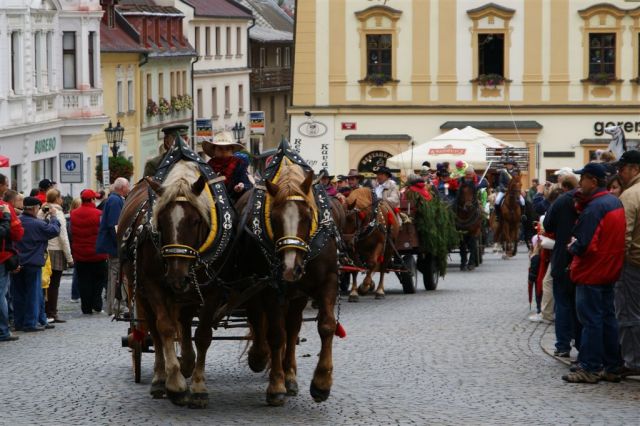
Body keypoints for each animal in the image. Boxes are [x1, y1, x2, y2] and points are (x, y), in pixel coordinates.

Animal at [116, 161, 224, 408]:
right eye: (161, 222)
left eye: (196, 221)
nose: (176, 276)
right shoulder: (152, 286)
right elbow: (164, 328)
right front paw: (175, 383)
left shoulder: (211, 290)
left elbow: (202, 335)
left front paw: (198, 386)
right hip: (142, 293)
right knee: (154, 331)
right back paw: (160, 378)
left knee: (183, 324)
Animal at [232, 160, 338, 406]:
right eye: (274, 218)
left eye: (308, 215)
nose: (290, 269)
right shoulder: (269, 289)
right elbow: (275, 334)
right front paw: (275, 385)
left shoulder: (328, 282)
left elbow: (326, 326)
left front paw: (321, 383)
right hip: (254, 287)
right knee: (261, 321)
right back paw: (260, 357)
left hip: (297, 296)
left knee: (292, 327)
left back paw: (289, 374)